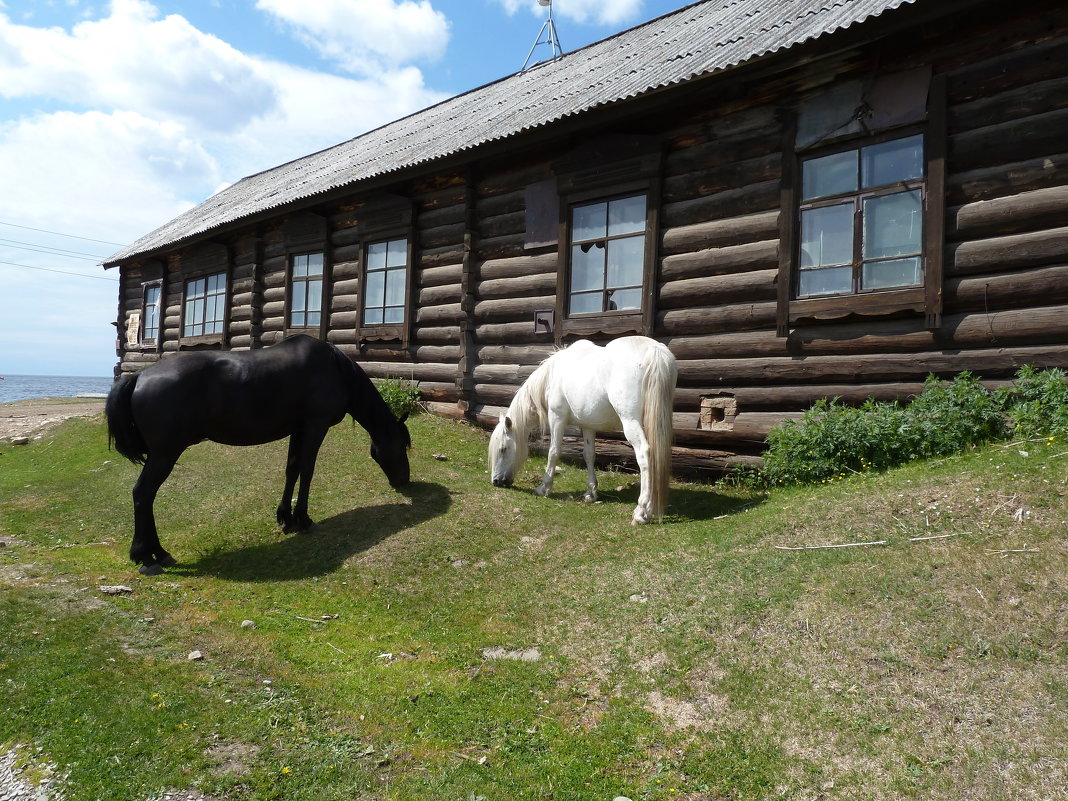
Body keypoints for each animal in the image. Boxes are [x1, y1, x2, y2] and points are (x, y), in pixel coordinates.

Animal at [104, 335, 410, 572]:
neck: (334, 368)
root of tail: (140, 375)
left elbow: (292, 469)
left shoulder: (298, 430)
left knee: (145, 496)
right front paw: (304, 520)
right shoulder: (315, 426)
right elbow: (307, 470)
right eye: (403, 446)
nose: (404, 481)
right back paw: (147, 556)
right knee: (143, 494)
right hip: (164, 455)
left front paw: (286, 518)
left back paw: (157, 553)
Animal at [487, 337, 674, 527]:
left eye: (503, 449)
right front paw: (590, 493)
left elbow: (553, 452)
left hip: (631, 422)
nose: (496, 481)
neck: (551, 376)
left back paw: (642, 511)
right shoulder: (588, 426)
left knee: (644, 455)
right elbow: (589, 455)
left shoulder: (557, 418)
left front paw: (544, 488)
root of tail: (653, 349)